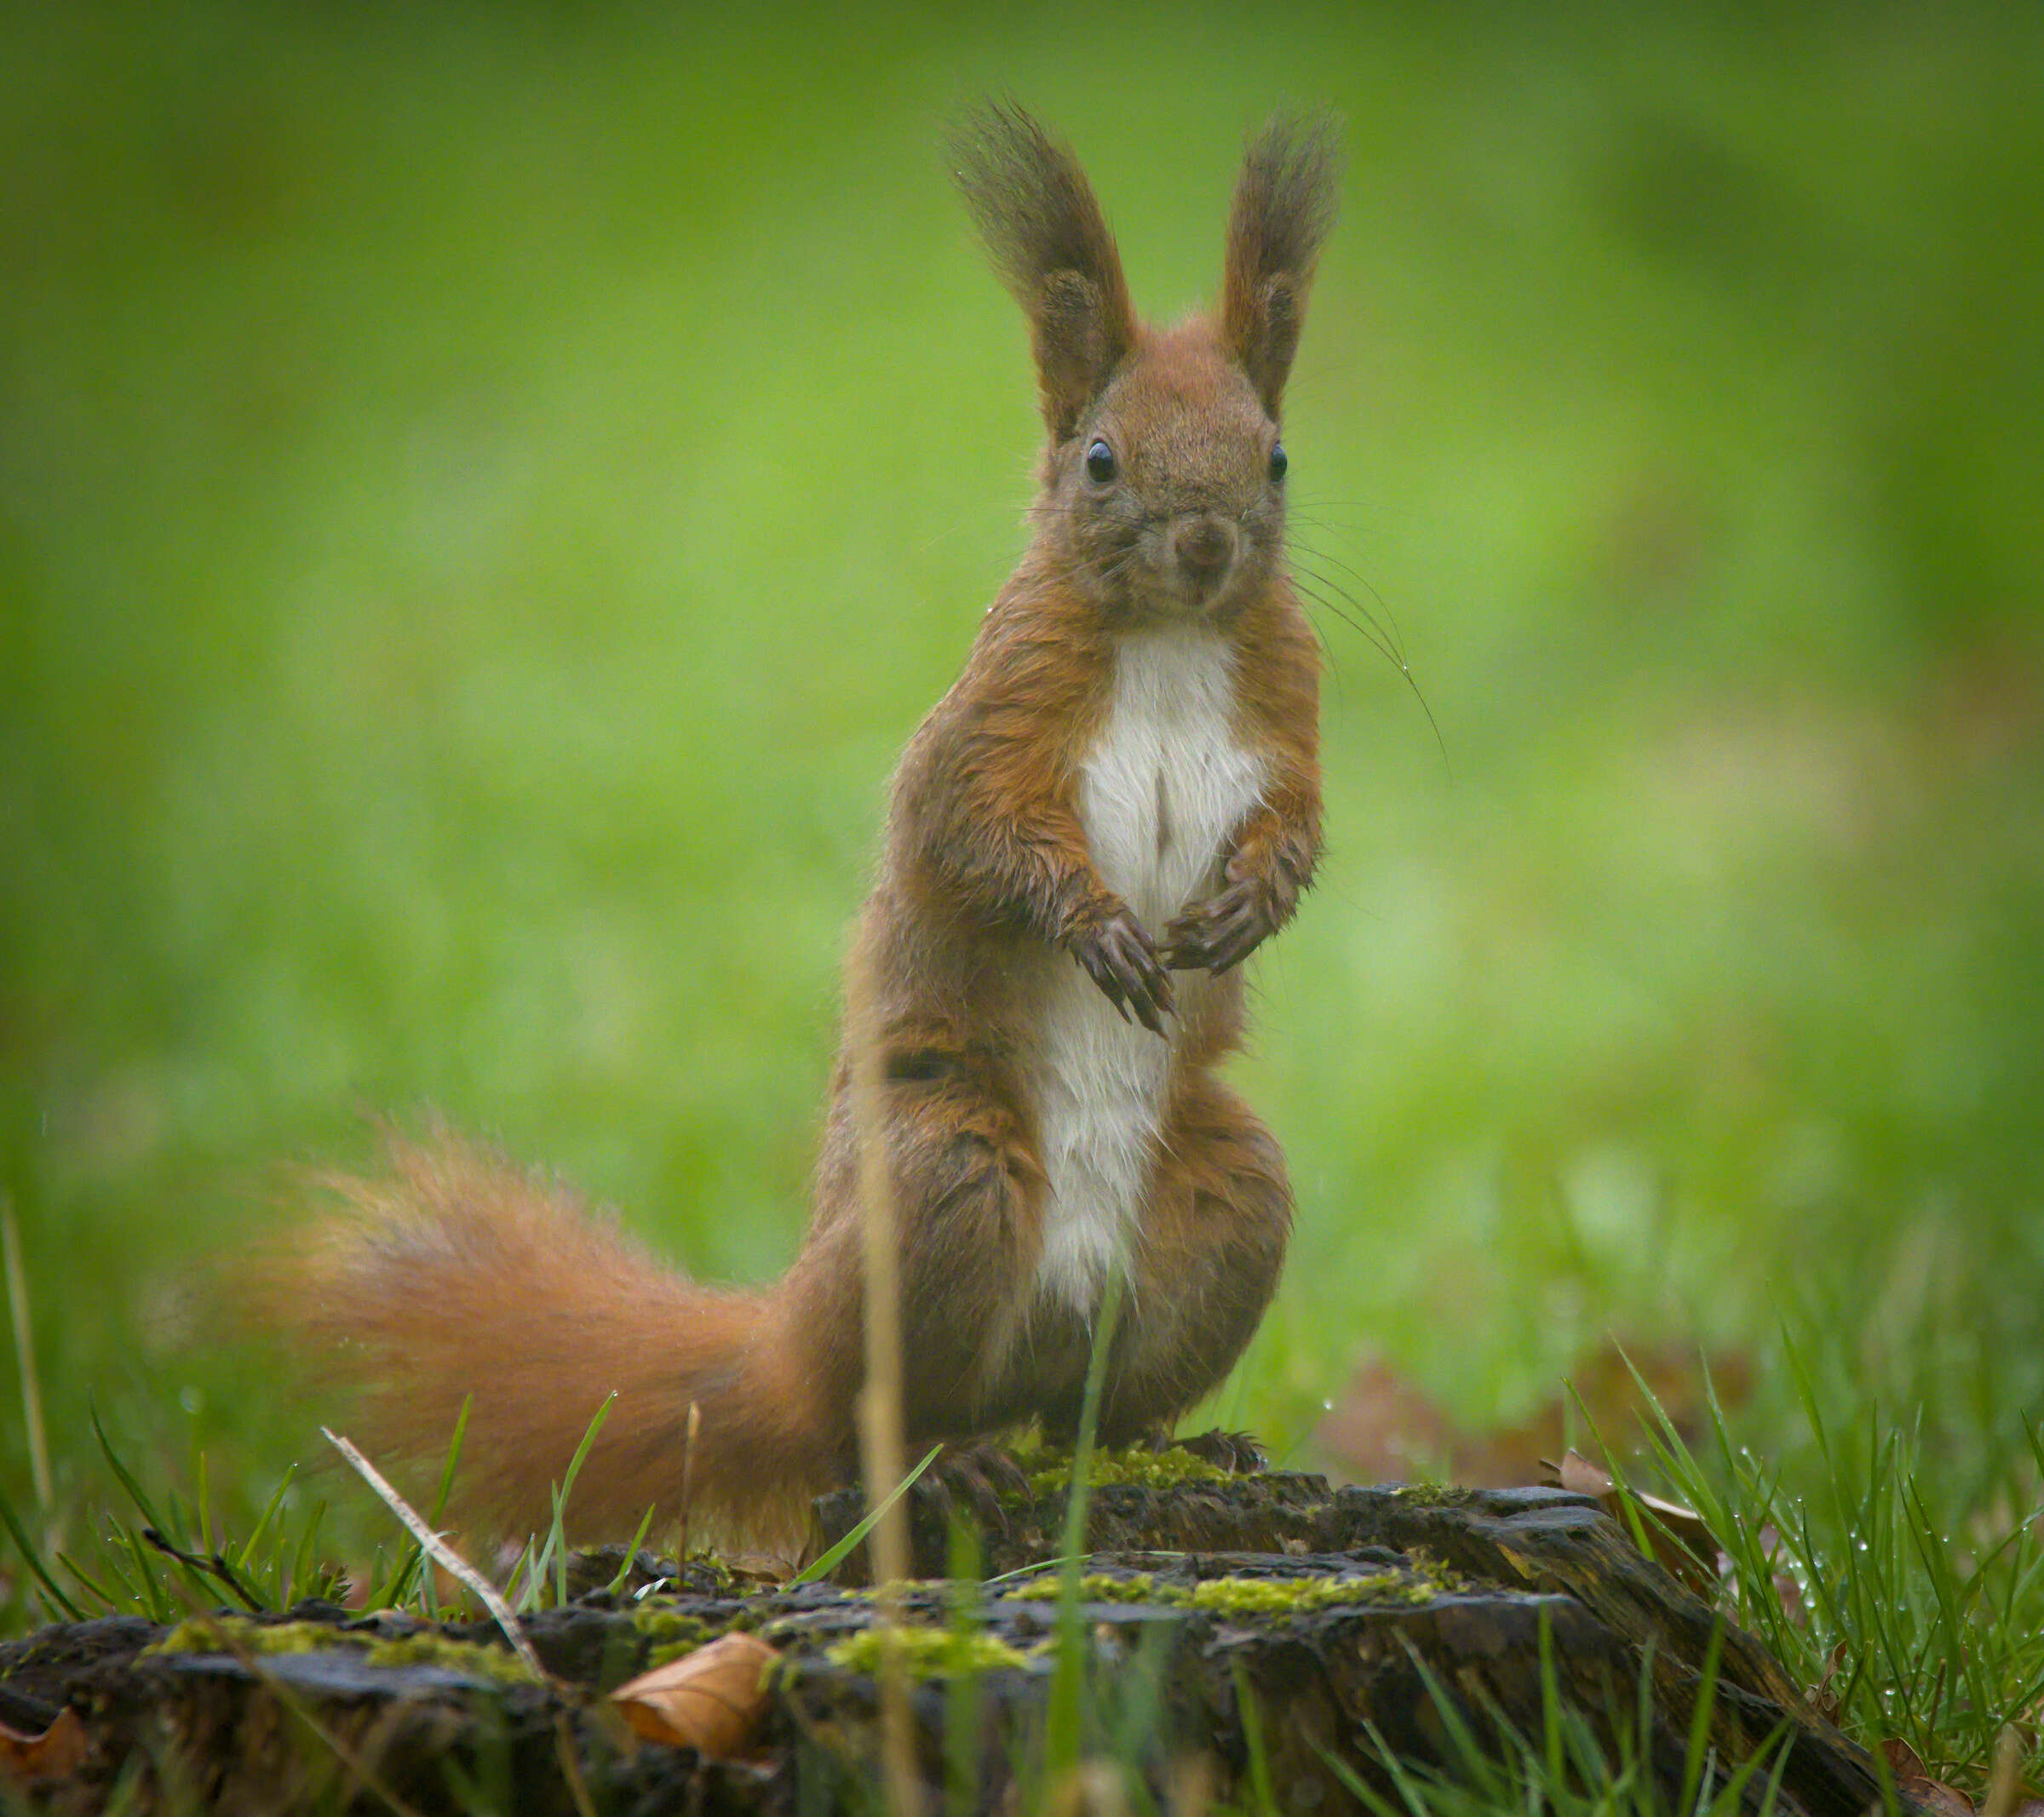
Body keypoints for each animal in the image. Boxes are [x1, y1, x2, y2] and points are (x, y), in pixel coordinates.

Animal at [279, 106, 1341, 1537]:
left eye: (1274, 454)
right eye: (1102, 458)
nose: (1208, 545)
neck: (1173, 639)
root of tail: (782, 1337)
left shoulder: (1287, 716)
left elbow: (1301, 820)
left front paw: (1253, 902)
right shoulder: (987, 730)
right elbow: (968, 833)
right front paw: (1095, 925)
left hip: (1226, 1199)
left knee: (1097, 1402)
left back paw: (1179, 1442)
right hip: (939, 1184)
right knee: (869, 1416)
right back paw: (943, 1457)